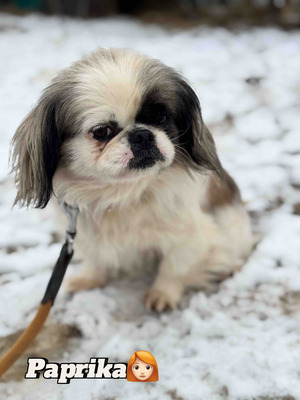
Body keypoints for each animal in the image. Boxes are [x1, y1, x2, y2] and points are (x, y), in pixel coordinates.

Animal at [10, 47, 252, 312]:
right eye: (102, 132)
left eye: (161, 119)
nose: (142, 135)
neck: (121, 193)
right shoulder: (84, 233)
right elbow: (96, 260)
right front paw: (90, 278)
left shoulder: (189, 235)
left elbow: (173, 268)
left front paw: (162, 294)